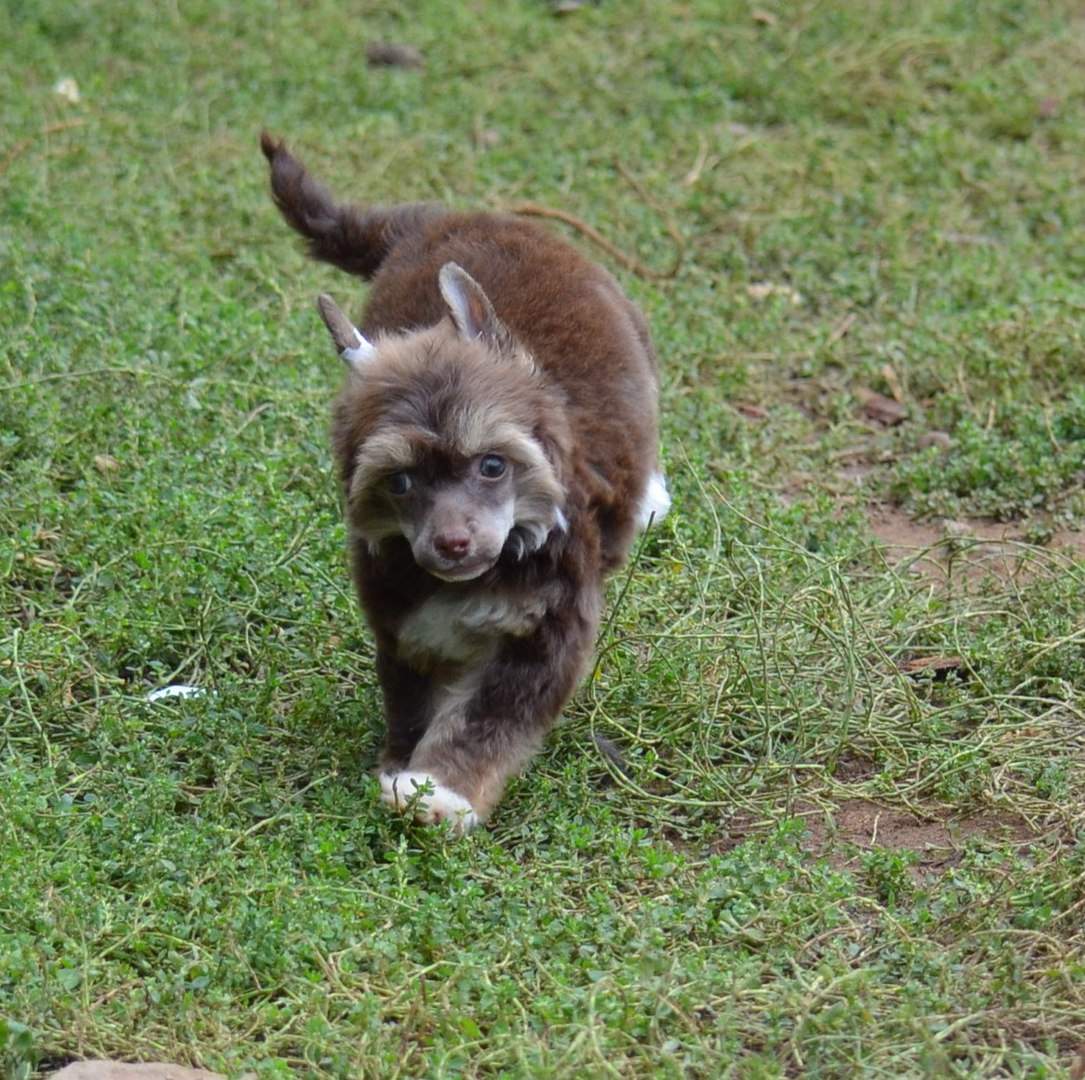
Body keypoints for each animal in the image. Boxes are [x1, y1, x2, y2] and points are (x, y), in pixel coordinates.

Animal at [261, 134, 670, 831]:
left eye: (492, 466)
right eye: (400, 482)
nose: (453, 544)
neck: (487, 572)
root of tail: (442, 219)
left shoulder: (544, 631)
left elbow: (489, 717)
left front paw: (441, 791)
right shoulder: (407, 628)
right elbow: (416, 701)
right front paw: (406, 768)